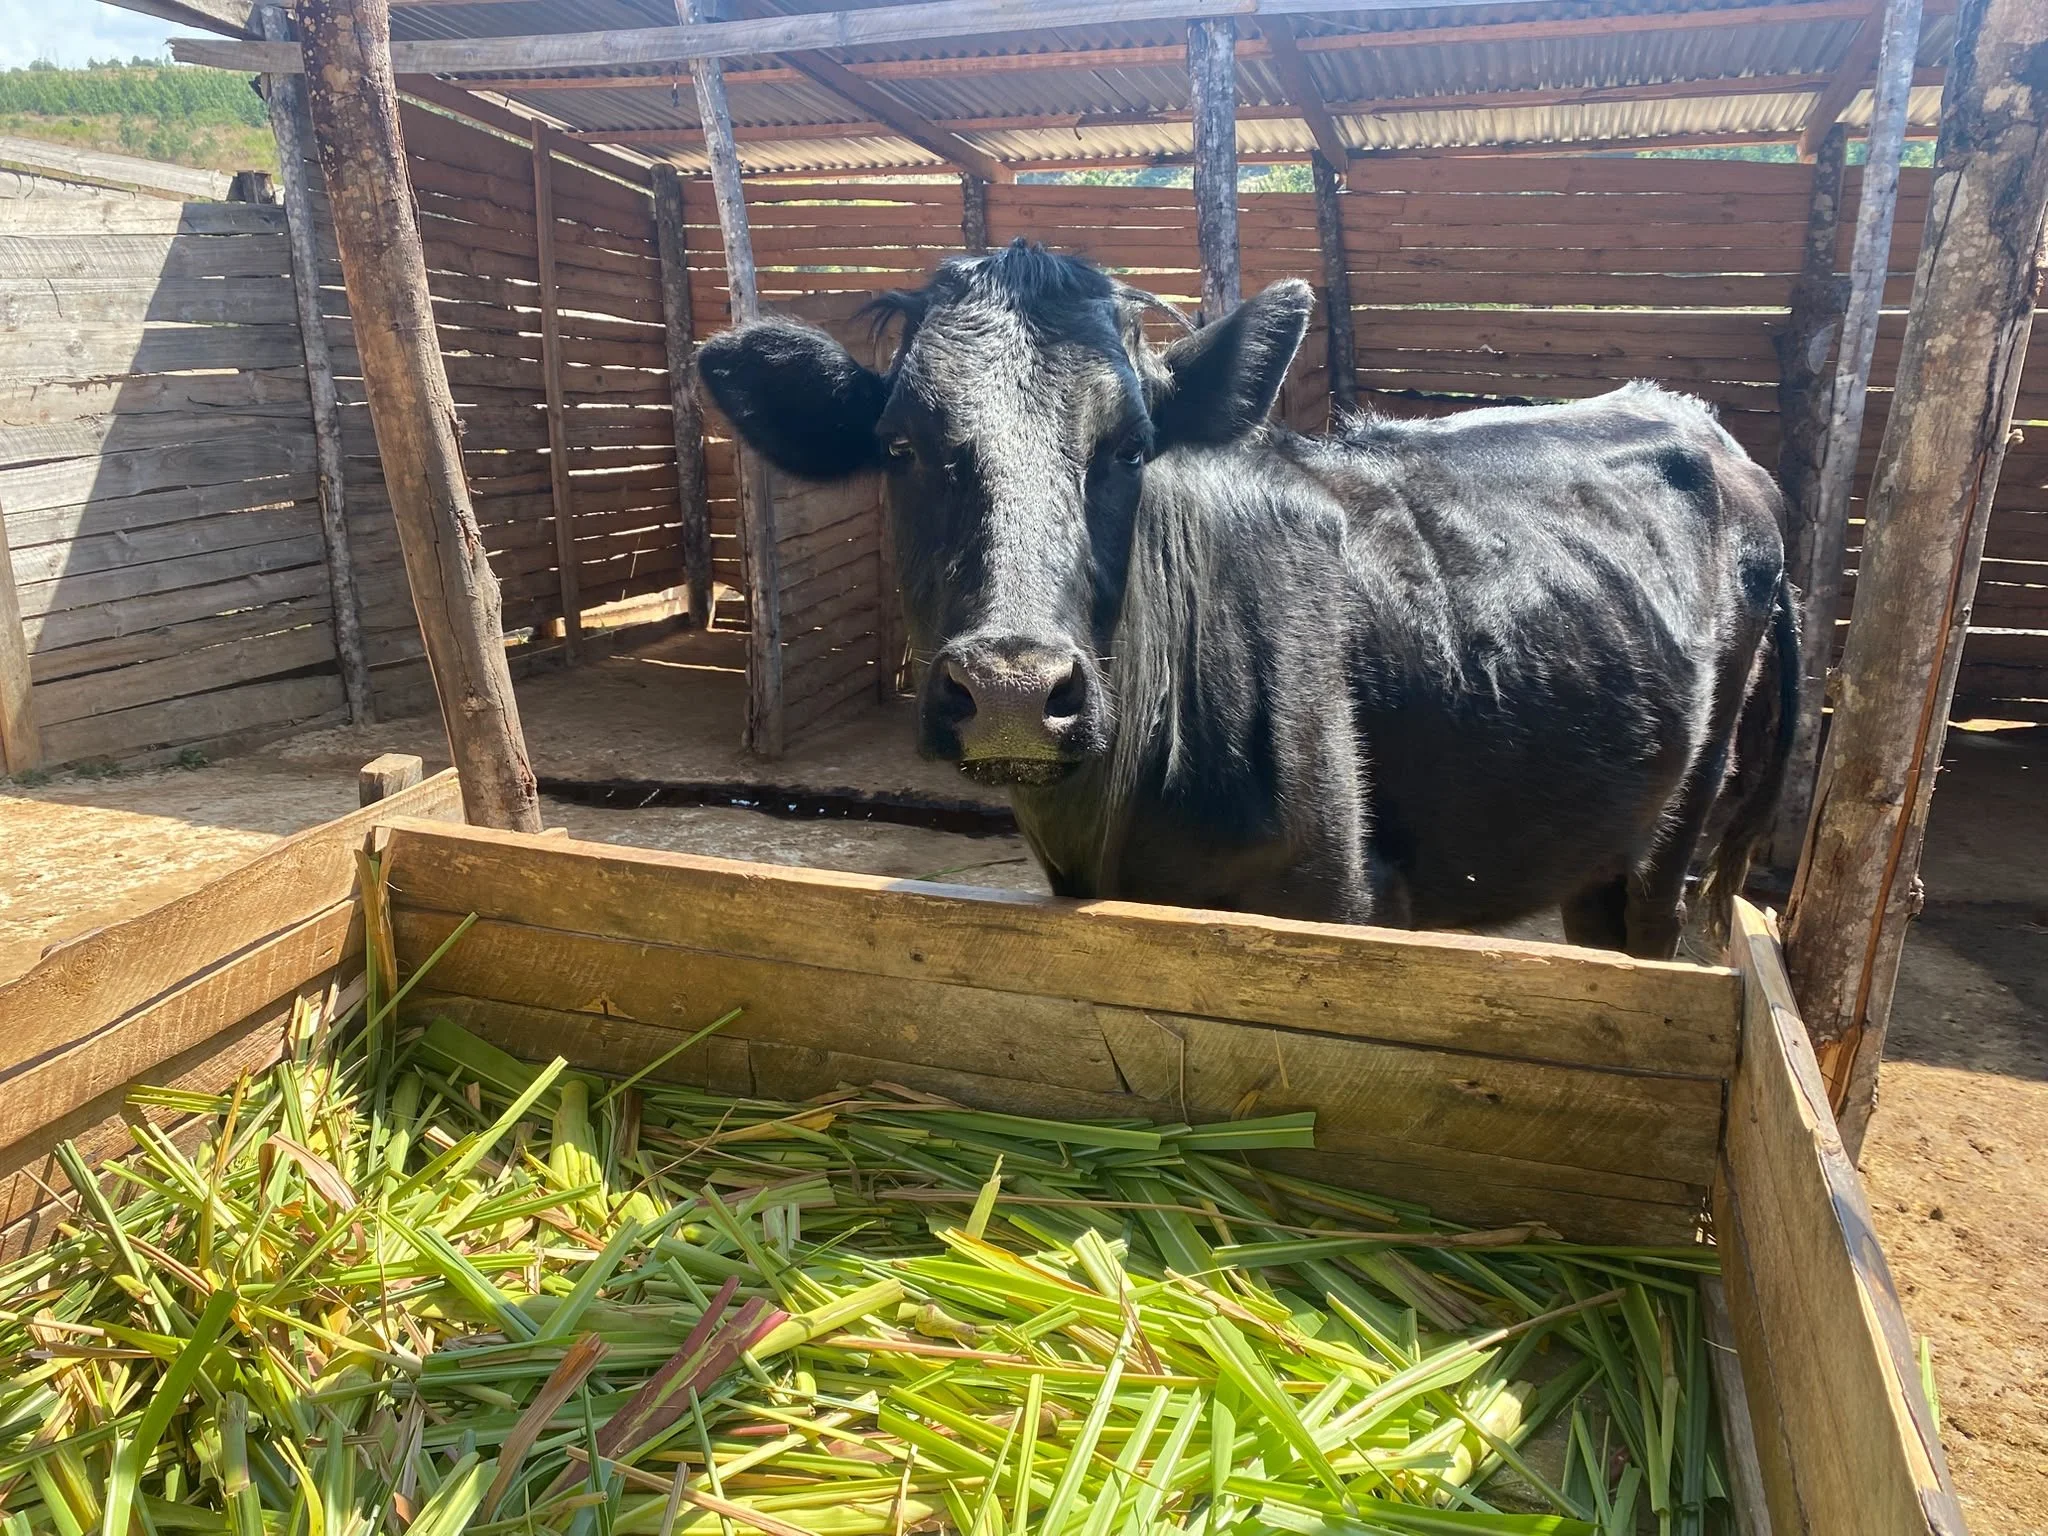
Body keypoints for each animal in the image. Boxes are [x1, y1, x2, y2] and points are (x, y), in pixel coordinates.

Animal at [697, 240, 1796, 958]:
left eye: (1131, 446)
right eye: (898, 445)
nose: (1014, 689)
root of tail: (1701, 424)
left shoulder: (1336, 896)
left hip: (1681, 822)